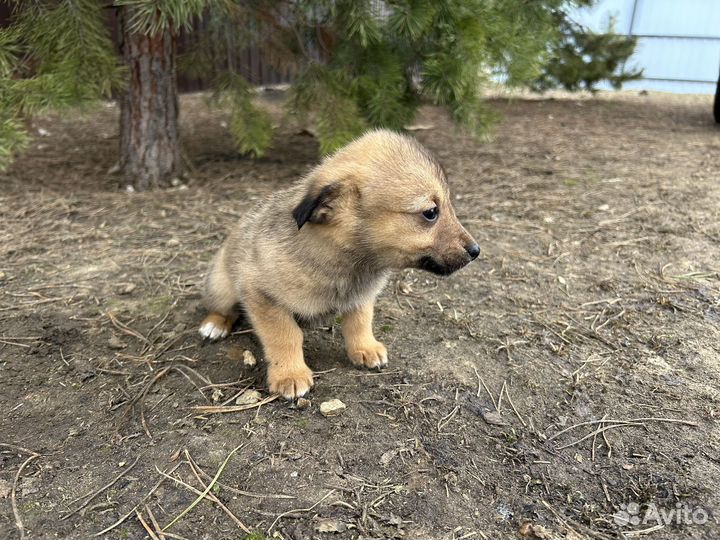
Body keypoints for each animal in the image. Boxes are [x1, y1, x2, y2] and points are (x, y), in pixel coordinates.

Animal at [198, 129, 478, 398]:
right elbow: (285, 335)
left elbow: (360, 321)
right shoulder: (261, 295)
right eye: (431, 212)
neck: (351, 265)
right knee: (221, 307)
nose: (476, 251)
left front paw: (365, 348)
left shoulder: (361, 296)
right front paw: (289, 375)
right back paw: (214, 325)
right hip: (221, 284)